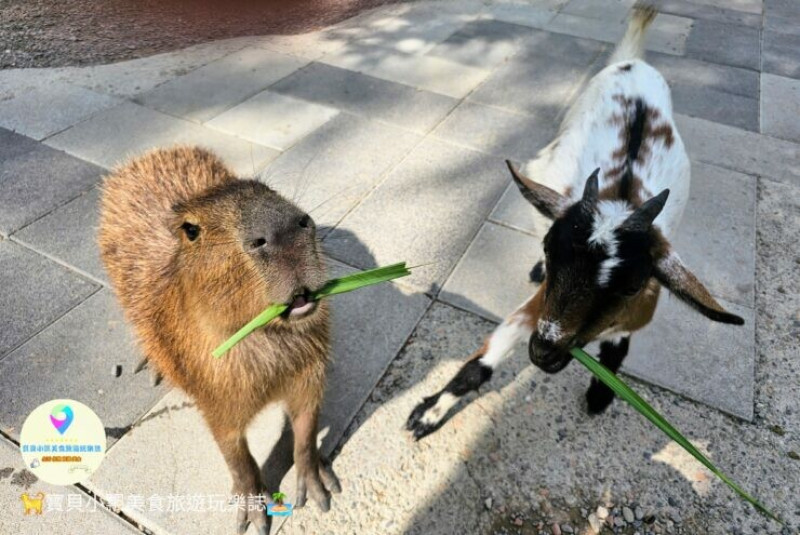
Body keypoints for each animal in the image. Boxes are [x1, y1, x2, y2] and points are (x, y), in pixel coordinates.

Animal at [410, 3, 748, 440]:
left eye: (632, 283)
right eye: (550, 250)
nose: (542, 352)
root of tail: (632, 60)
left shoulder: (635, 313)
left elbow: (618, 353)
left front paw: (600, 395)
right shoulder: (538, 309)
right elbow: (482, 362)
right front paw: (430, 412)